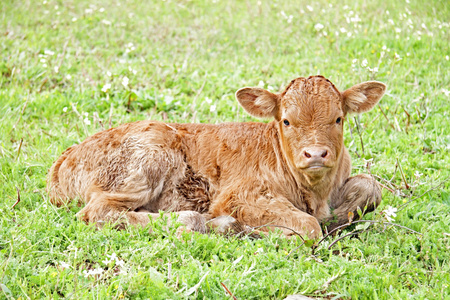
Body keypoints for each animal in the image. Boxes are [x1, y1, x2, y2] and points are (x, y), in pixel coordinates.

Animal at [47, 75, 384, 239]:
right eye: (286, 121)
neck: (314, 192)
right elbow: (309, 227)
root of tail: (63, 160)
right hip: (146, 160)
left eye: (338, 118)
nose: (315, 154)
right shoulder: (238, 197)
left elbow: (370, 186)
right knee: (98, 211)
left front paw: (336, 220)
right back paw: (208, 223)